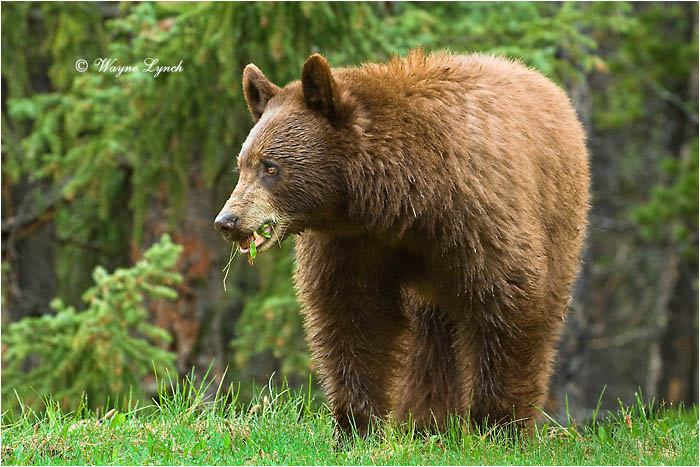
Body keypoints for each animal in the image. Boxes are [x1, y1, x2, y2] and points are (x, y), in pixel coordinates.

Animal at [214, 50, 590, 438]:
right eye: (242, 165)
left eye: (271, 167)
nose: (228, 221)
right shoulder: (352, 243)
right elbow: (352, 313)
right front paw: (355, 424)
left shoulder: (479, 215)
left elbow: (506, 303)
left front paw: (499, 424)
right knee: (430, 333)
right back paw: (426, 420)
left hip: (559, 220)